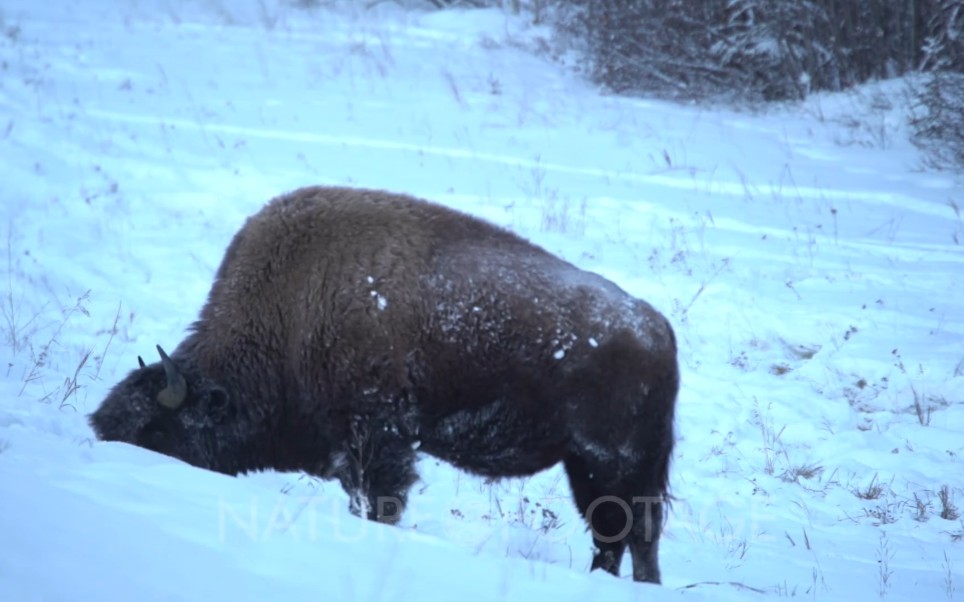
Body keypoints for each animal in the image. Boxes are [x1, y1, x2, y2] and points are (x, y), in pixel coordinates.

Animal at [90, 186, 676, 580]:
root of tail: (658, 331)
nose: (104, 449)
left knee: (629, 532)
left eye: (156, 433)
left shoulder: (376, 436)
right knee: (619, 535)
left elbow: (379, 502)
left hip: (612, 463)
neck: (289, 313)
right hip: (589, 466)